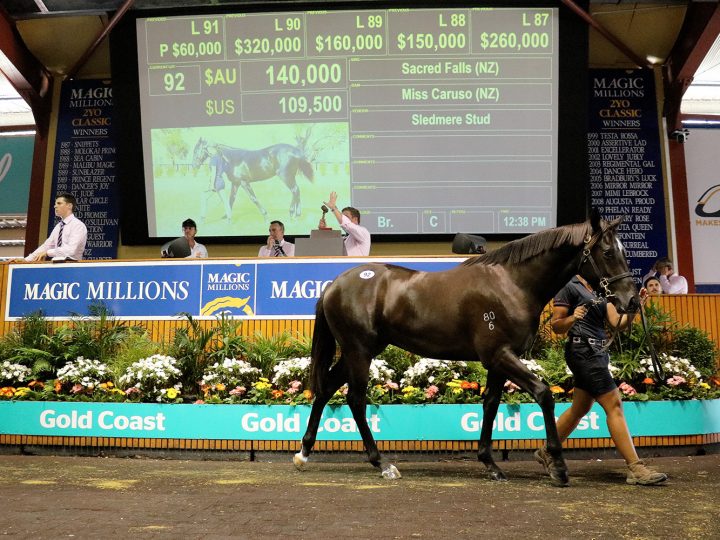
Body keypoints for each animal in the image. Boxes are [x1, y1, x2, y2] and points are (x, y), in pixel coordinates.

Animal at [296, 210, 640, 486]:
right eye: (607, 251)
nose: (631, 301)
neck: (512, 283)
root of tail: (335, 284)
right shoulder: (501, 355)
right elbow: (543, 394)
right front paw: (557, 466)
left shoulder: (499, 360)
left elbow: (490, 404)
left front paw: (490, 464)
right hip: (360, 351)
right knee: (355, 400)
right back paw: (382, 463)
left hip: (358, 351)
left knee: (325, 389)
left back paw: (304, 452)